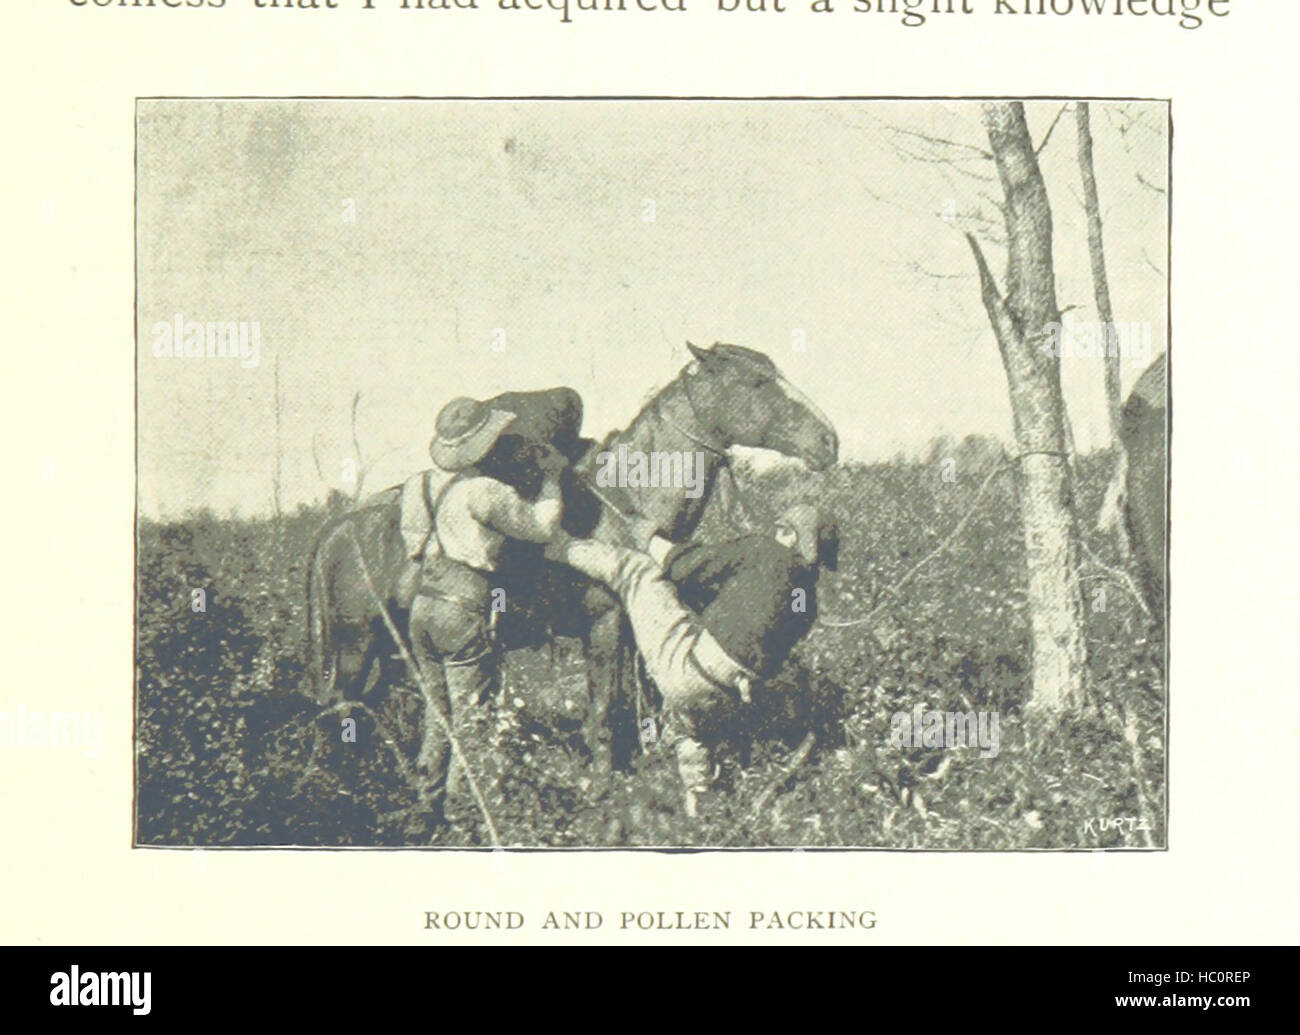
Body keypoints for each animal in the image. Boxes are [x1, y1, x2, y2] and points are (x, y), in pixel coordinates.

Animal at [304, 340, 837, 785]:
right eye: (756, 382)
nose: (829, 440)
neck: (624, 498)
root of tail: (334, 530)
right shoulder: (603, 625)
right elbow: (602, 711)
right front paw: (601, 785)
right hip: (355, 648)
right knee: (343, 710)